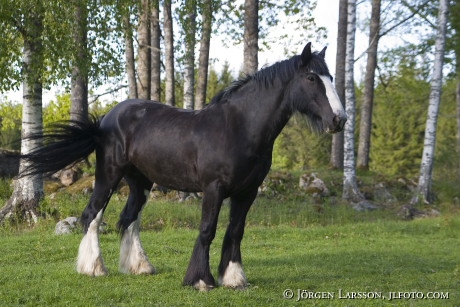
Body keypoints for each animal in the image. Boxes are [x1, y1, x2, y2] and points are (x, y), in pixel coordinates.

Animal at [20, 42, 344, 292]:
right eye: (311, 78)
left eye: (331, 76)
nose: (338, 119)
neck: (239, 127)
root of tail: (105, 120)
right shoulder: (214, 189)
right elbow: (207, 230)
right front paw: (200, 280)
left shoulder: (247, 192)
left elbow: (235, 231)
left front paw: (234, 278)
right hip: (109, 176)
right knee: (91, 216)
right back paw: (94, 268)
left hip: (141, 183)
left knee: (128, 219)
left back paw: (140, 267)